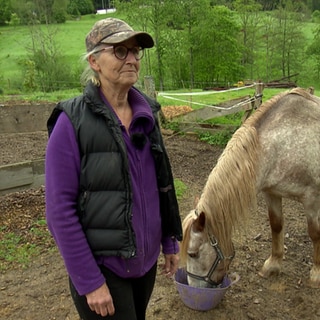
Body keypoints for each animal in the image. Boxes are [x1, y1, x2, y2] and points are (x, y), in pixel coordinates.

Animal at [179, 86, 320, 288]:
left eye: (193, 254)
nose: (192, 286)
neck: (284, 143)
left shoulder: (311, 199)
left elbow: (315, 233)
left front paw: (316, 273)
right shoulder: (271, 193)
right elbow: (276, 225)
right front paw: (272, 265)